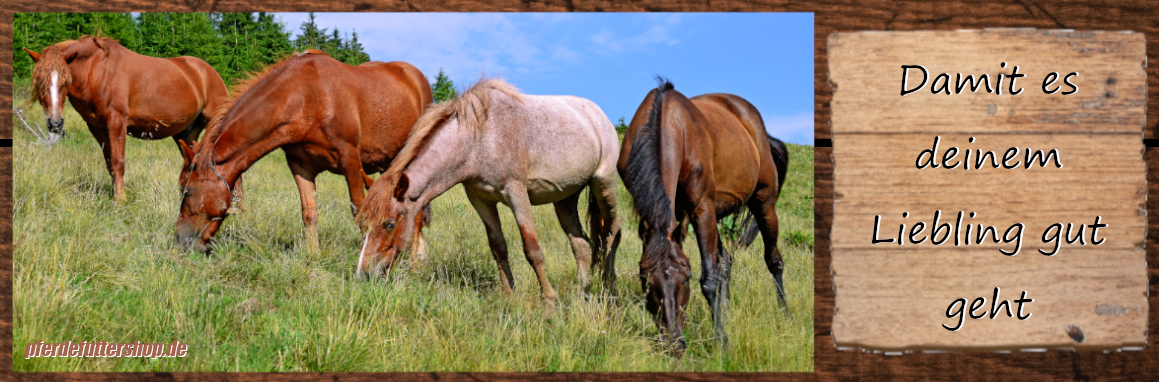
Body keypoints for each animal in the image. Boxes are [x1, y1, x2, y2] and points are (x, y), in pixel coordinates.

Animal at [23, 35, 227, 202]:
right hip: (184, 134)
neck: (99, 71)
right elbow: (109, 164)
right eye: (39, 82)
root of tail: (209, 72)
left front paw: (120, 200)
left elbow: (118, 162)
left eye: (65, 81)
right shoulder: (97, 127)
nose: (55, 123)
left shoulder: (117, 123)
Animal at [176, 50, 435, 253]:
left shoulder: (351, 162)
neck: (306, 99)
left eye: (187, 190)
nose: (181, 239)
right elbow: (309, 213)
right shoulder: (301, 166)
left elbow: (360, 210)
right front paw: (313, 256)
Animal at [356, 78, 625, 307]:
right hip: (565, 200)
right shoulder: (481, 200)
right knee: (582, 245)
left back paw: (609, 289)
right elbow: (498, 247)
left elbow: (532, 250)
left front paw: (549, 301)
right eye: (362, 225)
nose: (364, 274)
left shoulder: (517, 194)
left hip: (603, 184)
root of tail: (598, 114)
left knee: (612, 232)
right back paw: (583, 294)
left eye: (389, 224)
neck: (478, 139)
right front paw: (509, 297)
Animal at [621, 78, 792, 351]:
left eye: (686, 279)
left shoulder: (701, 207)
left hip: (763, 202)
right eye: (647, 282)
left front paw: (721, 341)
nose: (675, 344)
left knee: (773, 260)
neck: (668, 124)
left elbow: (709, 279)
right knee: (726, 262)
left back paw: (785, 314)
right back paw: (727, 313)